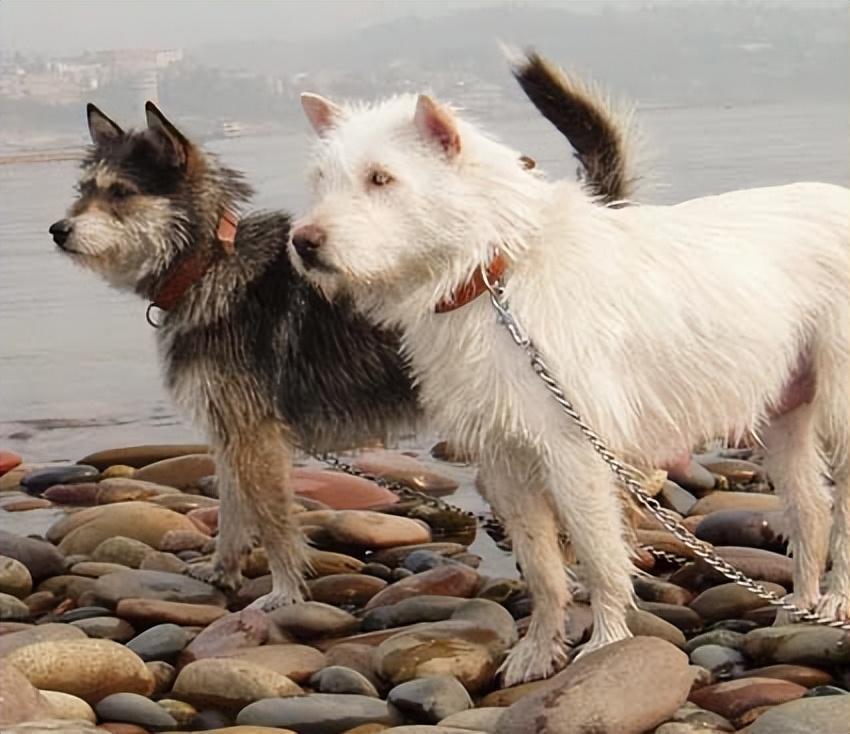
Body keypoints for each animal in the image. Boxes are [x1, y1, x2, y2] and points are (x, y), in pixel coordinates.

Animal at [51, 53, 636, 608]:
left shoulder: (257, 437)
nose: (58, 230)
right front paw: (221, 571)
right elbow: (233, 510)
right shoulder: (228, 430)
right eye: (82, 190)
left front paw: (283, 593)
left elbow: (274, 522)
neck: (209, 263)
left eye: (119, 193)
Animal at [290, 80, 848, 684]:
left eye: (381, 178)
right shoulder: (505, 459)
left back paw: (835, 600)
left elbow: (600, 557)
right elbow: (542, 566)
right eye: (319, 179)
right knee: (810, 510)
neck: (495, 274)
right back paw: (799, 609)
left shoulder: (576, 455)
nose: (303, 242)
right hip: (785, 412)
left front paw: (606, 644)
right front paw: (538, 649)